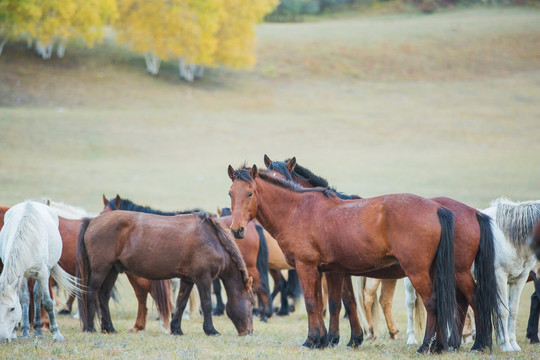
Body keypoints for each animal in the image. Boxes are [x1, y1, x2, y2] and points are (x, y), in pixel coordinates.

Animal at [0, 201, 80, 342]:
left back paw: (38, 330)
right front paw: (20, 332)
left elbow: (47, 302)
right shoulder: (21, 275)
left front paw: (57, 333)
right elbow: (24, 298)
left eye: (12, 308)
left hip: (43, 272)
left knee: (37, 295)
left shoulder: (43, 273)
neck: (28, 240)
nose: (3, 338)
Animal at [76, 210, 255, 336]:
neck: (212, 240)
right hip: (101, 269)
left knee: (103, 296)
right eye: (252, 303)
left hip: (112, 270)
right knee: (91, 293)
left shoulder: (188, 279)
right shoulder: (203, 278)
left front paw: (176, 329)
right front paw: (211, 330)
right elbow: (207, 304)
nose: (249, 332)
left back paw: (109, 328)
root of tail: (92, 221)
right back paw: (90, 327)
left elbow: (181, 302)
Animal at [226, 165, 458, 352]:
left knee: (432, 303)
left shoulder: (306, 267)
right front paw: (323, 340)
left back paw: (426, 346)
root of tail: (437, 209)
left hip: (416, 272)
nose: (237, 230)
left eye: (250, 193)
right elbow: (328, 304)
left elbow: (312, 303)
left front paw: (311, 341)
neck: (296, 210)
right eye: (230, 193)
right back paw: (438, 346)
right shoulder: (327, 271)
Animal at [264, 155, 502, 352]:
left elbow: (338, 303)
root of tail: (473, 212)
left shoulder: (336, 271)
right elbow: (347, 302)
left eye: (283, 178)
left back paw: (477, 344)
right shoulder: (340, 271)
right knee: (461, 302)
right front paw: (351, 339)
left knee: (472, 299)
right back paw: (454, 344)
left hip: (456, 271)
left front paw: (337, 339)